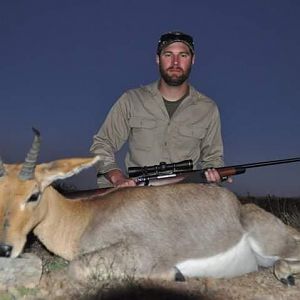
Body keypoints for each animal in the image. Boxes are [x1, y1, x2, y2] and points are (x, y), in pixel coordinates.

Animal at [0, 130, 300, 284]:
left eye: (34, 195)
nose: (5, 248)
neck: (84, 216)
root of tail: (238, 206)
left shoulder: (141, 251)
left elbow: (75, 268)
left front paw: (175, 275)